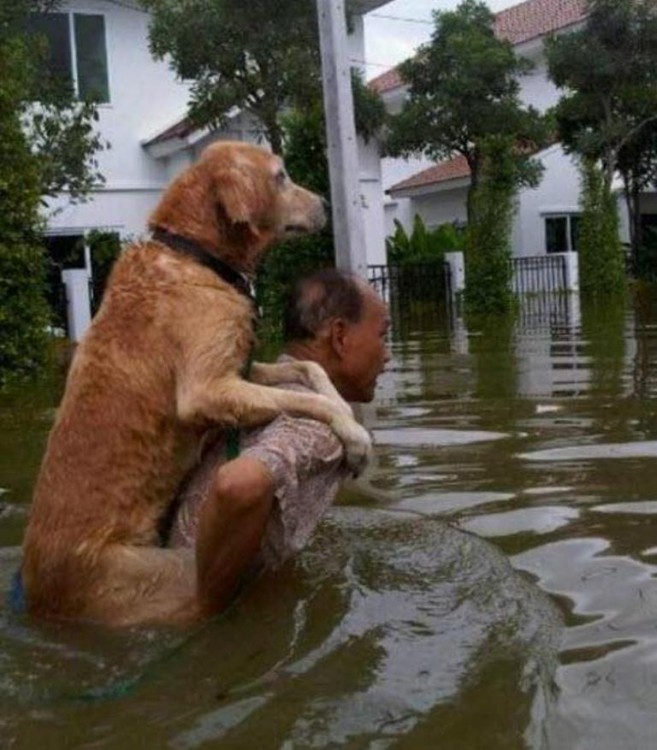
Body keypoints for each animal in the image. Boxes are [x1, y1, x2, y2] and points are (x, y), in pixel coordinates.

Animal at [21, 141, 368, 628]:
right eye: (281, 175)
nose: (326, 203)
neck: (196, 255)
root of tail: (39, 596)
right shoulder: (207, 388)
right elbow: (313, 403)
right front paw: (356, 435)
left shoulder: (238, 368)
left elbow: (308, 371)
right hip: (160, 573)